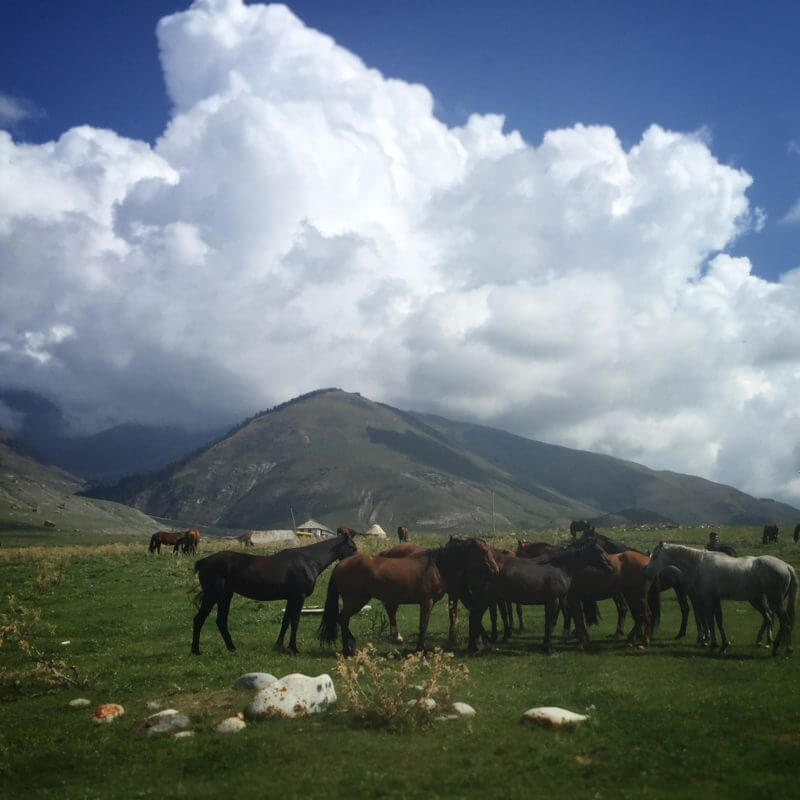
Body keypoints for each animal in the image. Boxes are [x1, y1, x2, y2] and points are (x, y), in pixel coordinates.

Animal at [191, 528, 356, 652]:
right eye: (351, 547)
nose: (356, 561)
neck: (309, 561)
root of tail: (204, 561)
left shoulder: (291, 598)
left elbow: (286, 622)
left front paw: (279, 645)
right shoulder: (299, 597)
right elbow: (295, 622)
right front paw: (293, 648)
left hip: (225, 596)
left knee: (221, 621)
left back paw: (231, 647)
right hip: (213, 596)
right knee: (199, 619)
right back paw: (196, 650)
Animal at [318, 536, 496, 656]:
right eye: (484, 551)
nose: (495, 569)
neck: (436, 566)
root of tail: (340, 565)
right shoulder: (426, 601)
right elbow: (423, 625)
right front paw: (419, 650)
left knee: (342, 619)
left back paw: (349, 646)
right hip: (355, 600)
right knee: (343, 619)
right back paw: (347, 649)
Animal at [468, 540, 612, 652]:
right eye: (599, 551)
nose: (611, 567)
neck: (560, 567)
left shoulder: (551, 601)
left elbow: (549, 622)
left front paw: (545, 645)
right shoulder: (554, 600)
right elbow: (550, 623)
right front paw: (549, 648)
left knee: (474, 618)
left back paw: (477, 646)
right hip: (485, 599)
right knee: (474, 617)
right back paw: (477, 646)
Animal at [648, 544, 796, 656]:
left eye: (655, 556)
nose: (647, 572)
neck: (698, 564)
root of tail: (786, 566)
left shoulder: (707, 599)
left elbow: (710, 621)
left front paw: (714, 644)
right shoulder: (714, 599)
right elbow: (717, 621)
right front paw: (721, 644)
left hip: (774, 601)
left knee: (785, 622)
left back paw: (784, 648)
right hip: (762, 600)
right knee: (774, 619)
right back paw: (770, 643)